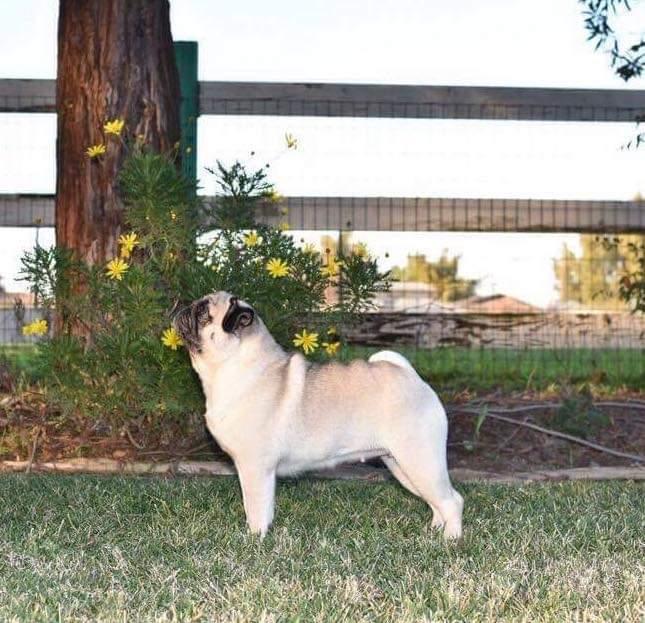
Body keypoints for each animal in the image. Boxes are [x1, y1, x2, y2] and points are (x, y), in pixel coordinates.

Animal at [174, 291, 463, 539]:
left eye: (203, 312)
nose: (181, 307)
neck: (236, 366)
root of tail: (412, 377)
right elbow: (261, 509)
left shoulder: (255, 467)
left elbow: (255, 509)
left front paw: (254, 539)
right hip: (401, 465)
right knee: (437, 502)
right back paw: (435, 531)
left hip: (419, 460)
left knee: (452, 501)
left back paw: (451, 540)